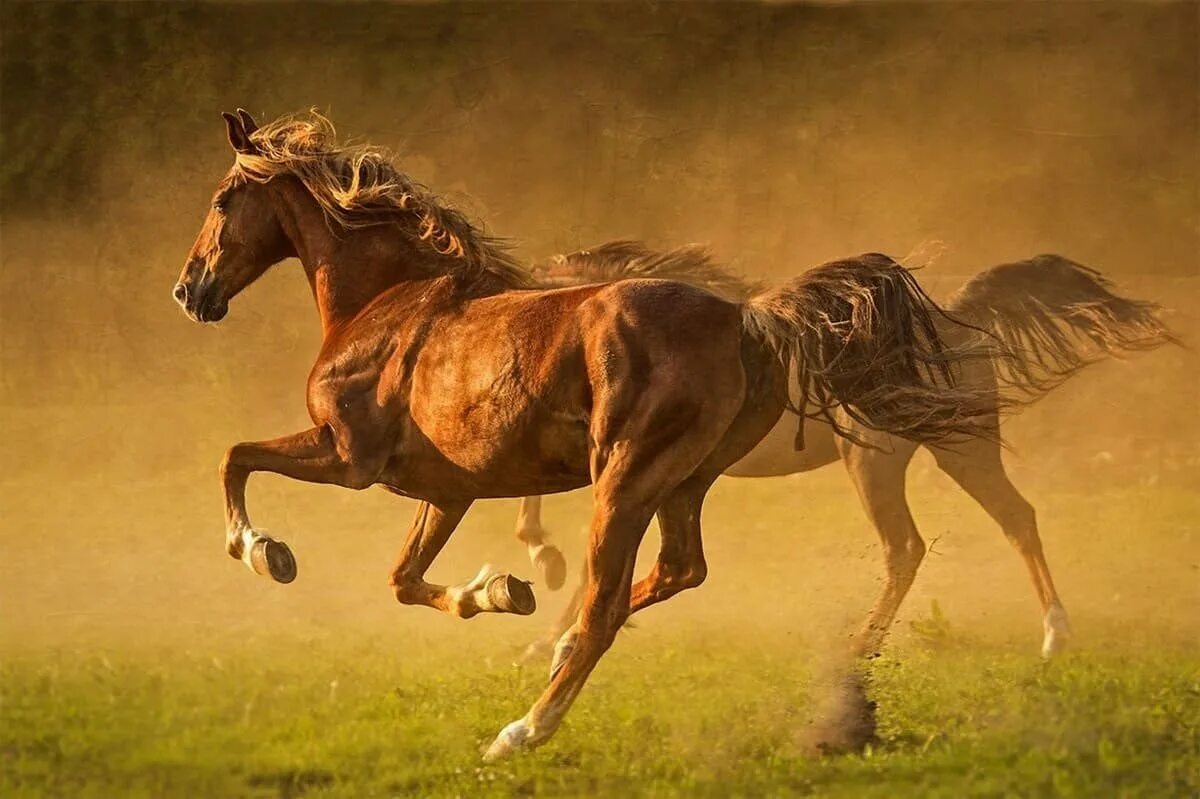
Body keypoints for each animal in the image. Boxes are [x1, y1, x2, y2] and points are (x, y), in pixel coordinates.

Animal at [175, 109, 1003, 758]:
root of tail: (747, 317)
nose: (190, 291)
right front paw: (500, 590)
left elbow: (231, 457)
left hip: (625, 480)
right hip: (684, 482)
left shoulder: (348, 455)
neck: (389, 300)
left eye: (223, 198)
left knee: (609, 603)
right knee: (677, 570)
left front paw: (265, 551)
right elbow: (404, 579)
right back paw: (552, 648)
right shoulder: (447, 490)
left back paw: (521, 730)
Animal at [513, 241, 1171, 657]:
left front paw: (550, 623)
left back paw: (861, 646)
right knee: (1017, 518)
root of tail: (949, 318)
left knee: (906, 548)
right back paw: (1056, 635)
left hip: (878, 462)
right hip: (963, 447)